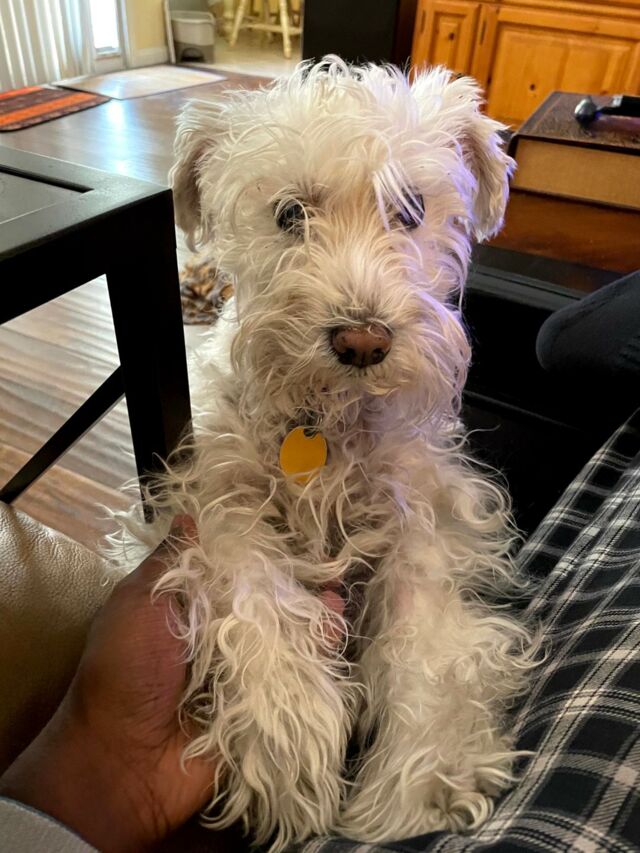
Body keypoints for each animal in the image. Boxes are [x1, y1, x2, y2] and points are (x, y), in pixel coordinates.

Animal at [115, 57, 537, 852]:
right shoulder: (212, 503)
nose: (362, 340)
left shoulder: (420, 524)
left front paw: (420, 781)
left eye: (410, 210)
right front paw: (288, 745)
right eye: (289, 214)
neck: (328, 420)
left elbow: (424, 638)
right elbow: (253, 590)